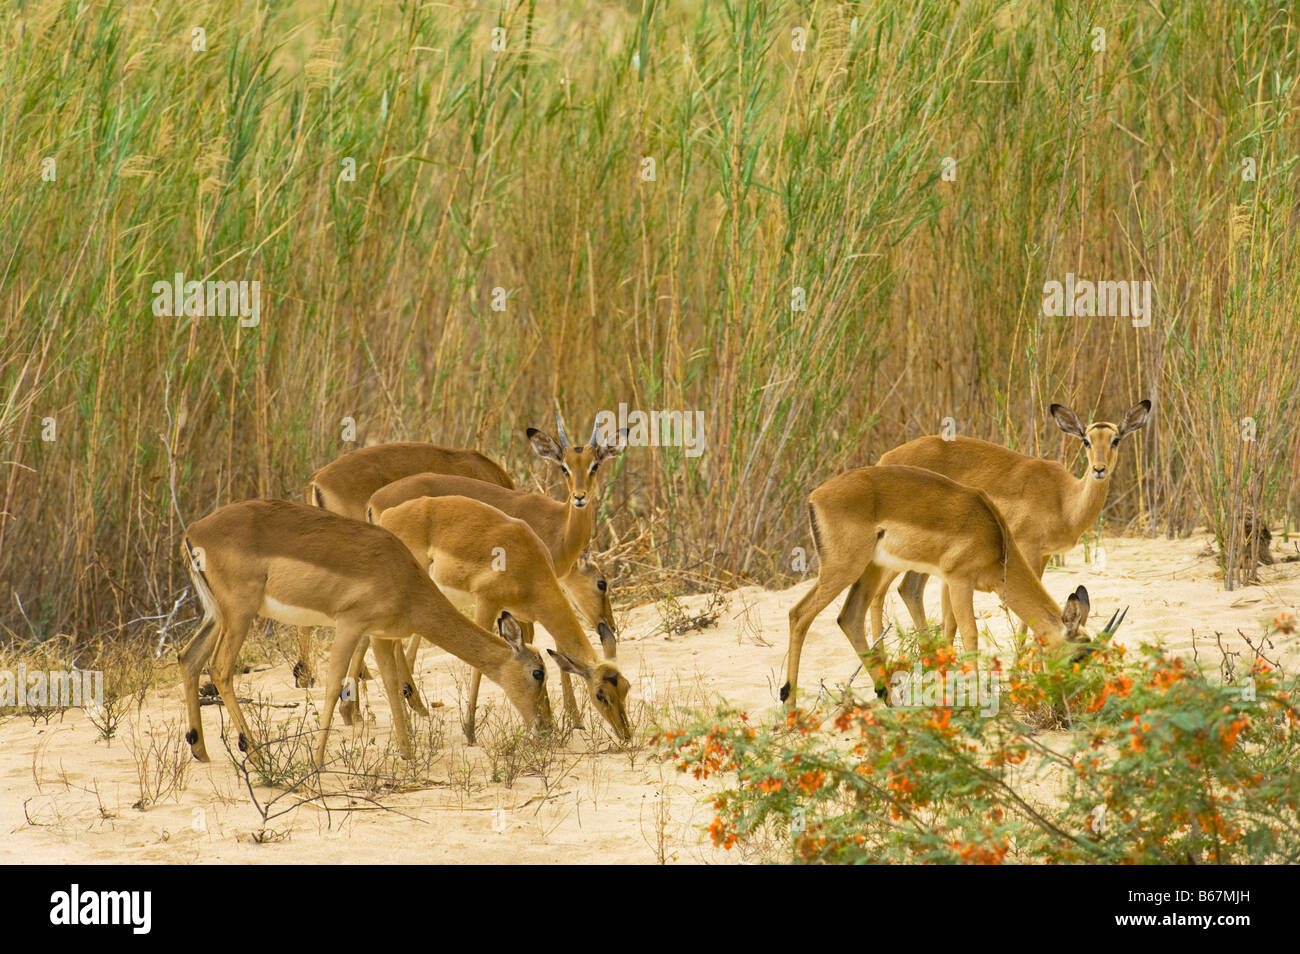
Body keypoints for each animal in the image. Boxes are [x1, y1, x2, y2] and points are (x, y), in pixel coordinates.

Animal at [178, 499, 551, 764]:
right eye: (538, 672)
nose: (546, 727)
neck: (405, 579)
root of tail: (194, 530)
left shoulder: (381, 636)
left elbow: (392, 686)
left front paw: (408, 755)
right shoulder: (350, 625)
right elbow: (333, 687)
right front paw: (316, 762)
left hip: (218, 615)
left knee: (188, 657)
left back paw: (202, 751)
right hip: (239, 614)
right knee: (220, 668)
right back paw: (255, 755)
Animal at [370, 494, 631, 742]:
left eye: (626, 687)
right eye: (601, 694)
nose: (625, 733)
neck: (529, 565)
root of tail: (389, 513)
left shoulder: (515, 616)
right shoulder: (487, 602)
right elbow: (478, 667)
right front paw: (470, 731)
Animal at [782, 465, 1097, 704]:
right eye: (1077, 657)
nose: (1072, 699)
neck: (995, 538)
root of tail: (815, 497)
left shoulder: (948, 581)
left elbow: (948, 630)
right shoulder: (959, 580)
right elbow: (969, 634)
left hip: (872, 569)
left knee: (849, 617)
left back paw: (888, 699)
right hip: (843, 568)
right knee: (799, 614)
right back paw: (790, 706)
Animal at [866, 400, 1150, 642]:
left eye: (1115, 439)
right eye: (1086, 441)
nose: (1099, 469)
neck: (1064, 499)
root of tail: (884, 460)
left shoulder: (1045, 554)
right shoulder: (1028, 550)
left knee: (908, 590)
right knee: (879, 594)